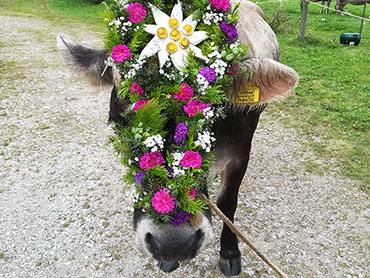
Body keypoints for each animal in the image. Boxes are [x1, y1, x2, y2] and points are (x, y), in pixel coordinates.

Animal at [57, 0, 300, 274]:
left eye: (213, 114)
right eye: (117, 122)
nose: (174, 244)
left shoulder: (240, 154)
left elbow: (228, 201)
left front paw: (229, 253)